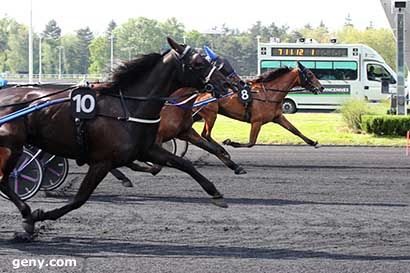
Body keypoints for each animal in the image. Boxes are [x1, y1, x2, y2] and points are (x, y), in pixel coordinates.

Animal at [0, 37, 234, 239]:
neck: (127, 108)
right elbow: (80, 199)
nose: (226, 85)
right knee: (4, 180)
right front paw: (39, 216)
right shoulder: (102, 161)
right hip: (14, 147)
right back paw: (27, 214)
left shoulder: (147, 149)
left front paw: (216, 194)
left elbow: (184, 164)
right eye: (198, 62)